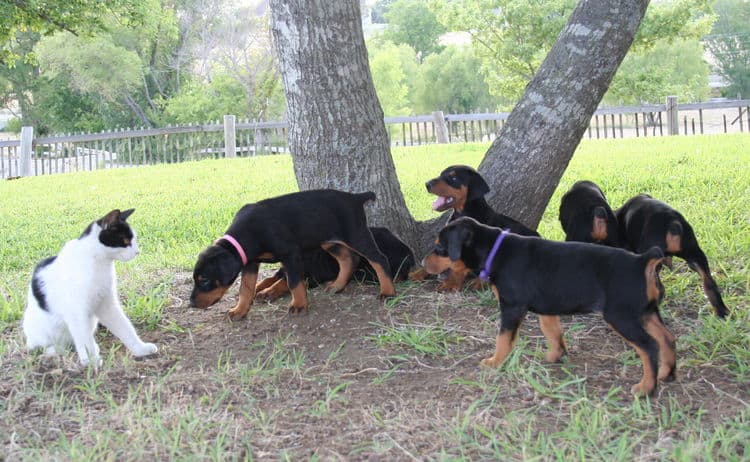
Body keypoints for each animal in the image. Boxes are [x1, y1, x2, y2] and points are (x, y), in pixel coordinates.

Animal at [23, 209, 157, 368]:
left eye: (134, 240)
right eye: (125, 241)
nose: (137, 252)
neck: (99, 262)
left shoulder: (107, 304)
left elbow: (125, 328)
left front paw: (140, 349)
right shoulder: (77, 312)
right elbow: (84, 339)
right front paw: (91, 361)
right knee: (43, 346)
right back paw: (55, 350)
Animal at [191, 189, 396, 320]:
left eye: (204, 280)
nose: (191, 304)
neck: (248, 233)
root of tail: (355, 197)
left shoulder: (291, 255)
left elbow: (294, 282)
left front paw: (299, 305)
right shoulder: (250, 262)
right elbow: (246, 288)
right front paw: (240, 310)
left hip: (356, 234)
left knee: (379, 259)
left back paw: (387, 292)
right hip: (329, 241)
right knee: (348, 259)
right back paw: (337, 286)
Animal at [256, 226, 414, 300]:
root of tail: (408, 252)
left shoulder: (310, 276)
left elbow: (283, 282)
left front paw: (268, 292)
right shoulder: (284, 270)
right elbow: (269, 278)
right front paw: (258, 287)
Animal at [424, 217, 676, 398]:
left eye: (440, 247)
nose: (423, 263)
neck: (495, 250)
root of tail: (641, 261)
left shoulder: (511, 307)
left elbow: (503, 338)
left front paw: (495, 362)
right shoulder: (548, 308)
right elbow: (553, 332)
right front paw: (555, 356)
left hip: (621, 316)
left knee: (649, 346)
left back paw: (646, 388)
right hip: (647, 312)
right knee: (667, 338)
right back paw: (667, 374)